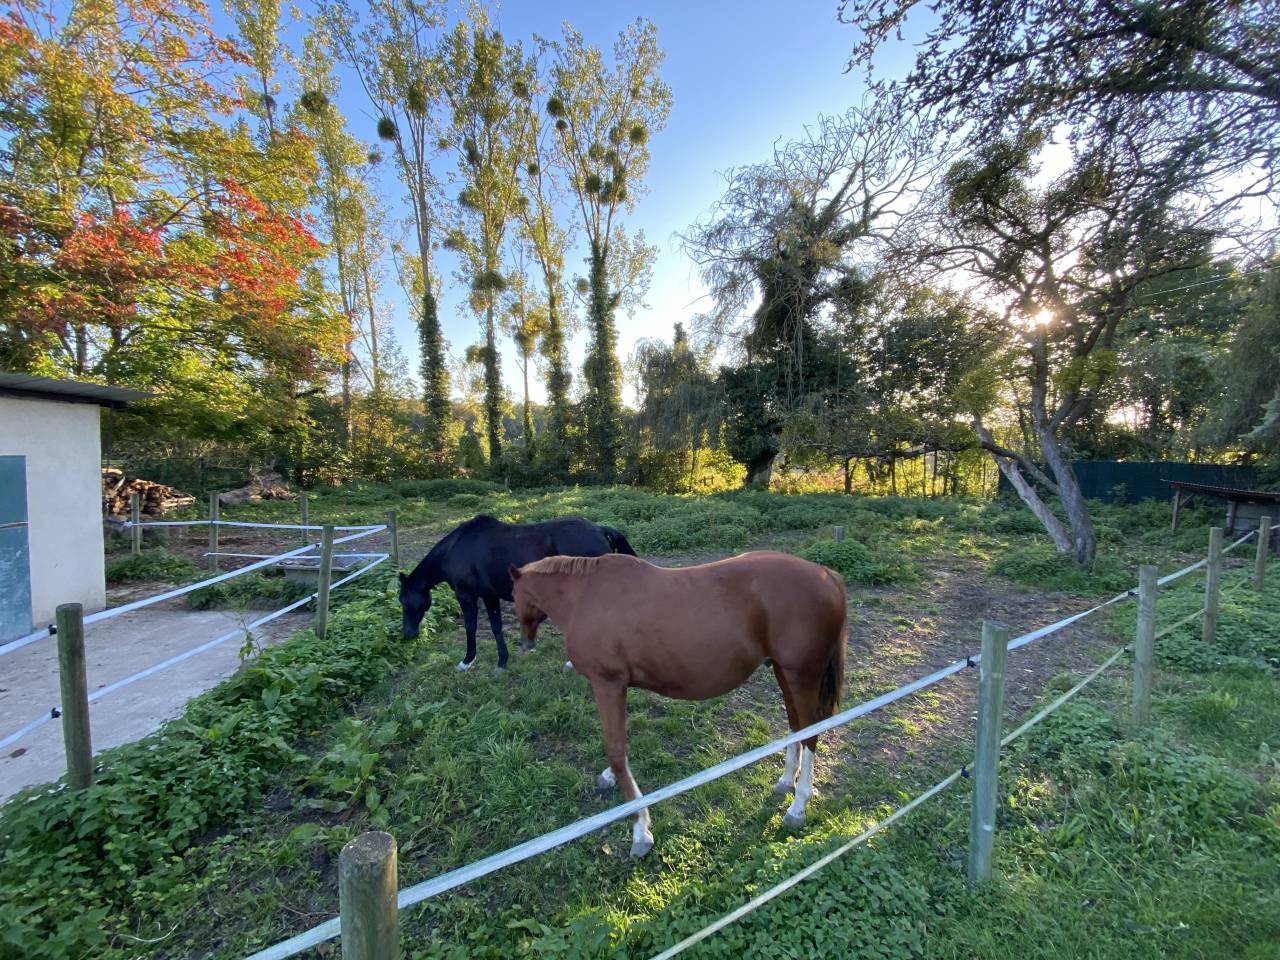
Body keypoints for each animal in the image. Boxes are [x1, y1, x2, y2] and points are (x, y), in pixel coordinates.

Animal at [398, 514, 635, 671]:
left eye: (405, 601)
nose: (408, 634)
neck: (456, 549)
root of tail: (600, 529)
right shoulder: (489, 595)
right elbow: (496, 627)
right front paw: (502, 661)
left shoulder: (467, 596)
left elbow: (470, 627)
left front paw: (466, 661)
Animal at [509, 550, 847, 858]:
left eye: (514, 595)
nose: (524, 642)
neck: (585, 595)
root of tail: (827, 575)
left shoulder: (607, 683)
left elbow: (616, 751)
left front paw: (640, 829)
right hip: (784, 673)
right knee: (797, 726)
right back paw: (786, 780)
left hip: (801, 676)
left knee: (811, 732)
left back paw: (798, 806)